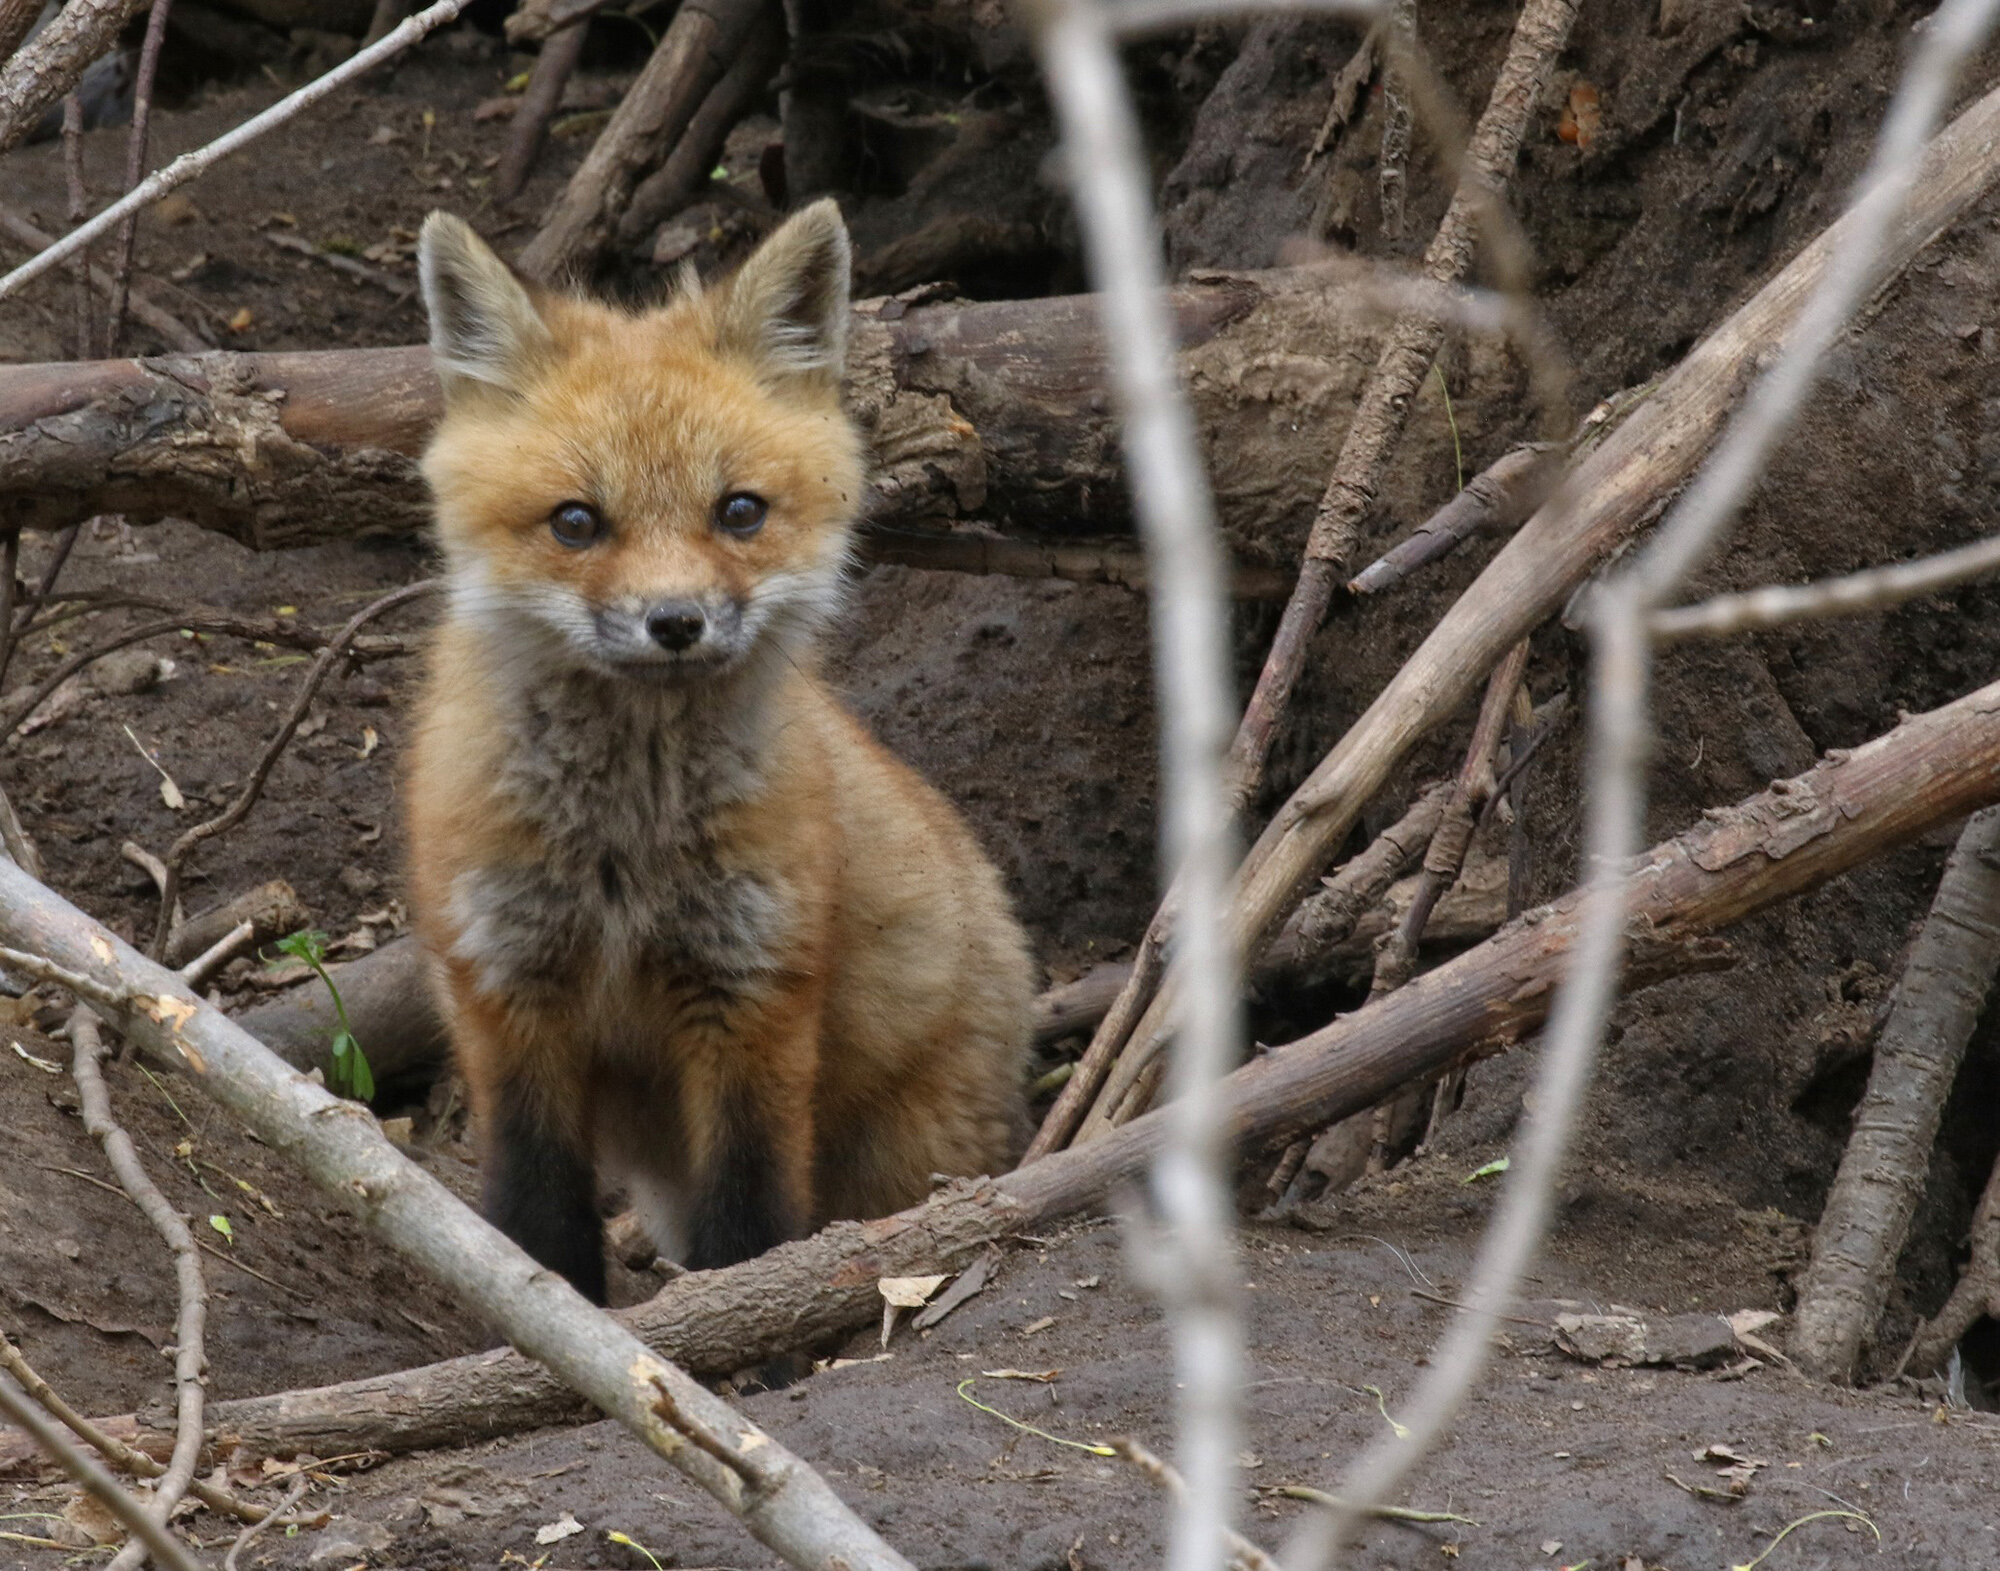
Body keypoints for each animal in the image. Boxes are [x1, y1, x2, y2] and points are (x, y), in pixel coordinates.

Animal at [404, 198, 1032, 1295]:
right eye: (577, 521)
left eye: (738, 510)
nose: (675, 622)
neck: (626, 844)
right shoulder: (507, 990)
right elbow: (532, 1209)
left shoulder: (754, 991)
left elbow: (751, 1209)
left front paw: (754, 1319)